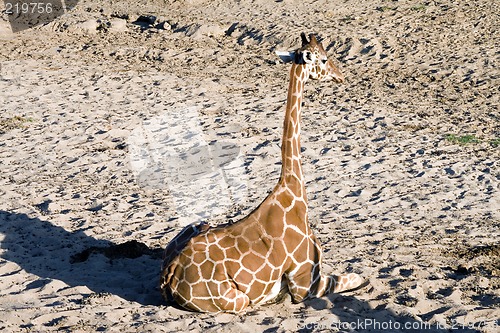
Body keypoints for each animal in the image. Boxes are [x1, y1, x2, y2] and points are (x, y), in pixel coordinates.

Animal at [160, 32, 364, 312]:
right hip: (237, 300)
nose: (340, 75)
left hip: (197, 225)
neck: (294, 191)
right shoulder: (306, 284)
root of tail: (170, 274)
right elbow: (356, 277)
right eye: (324, 59)